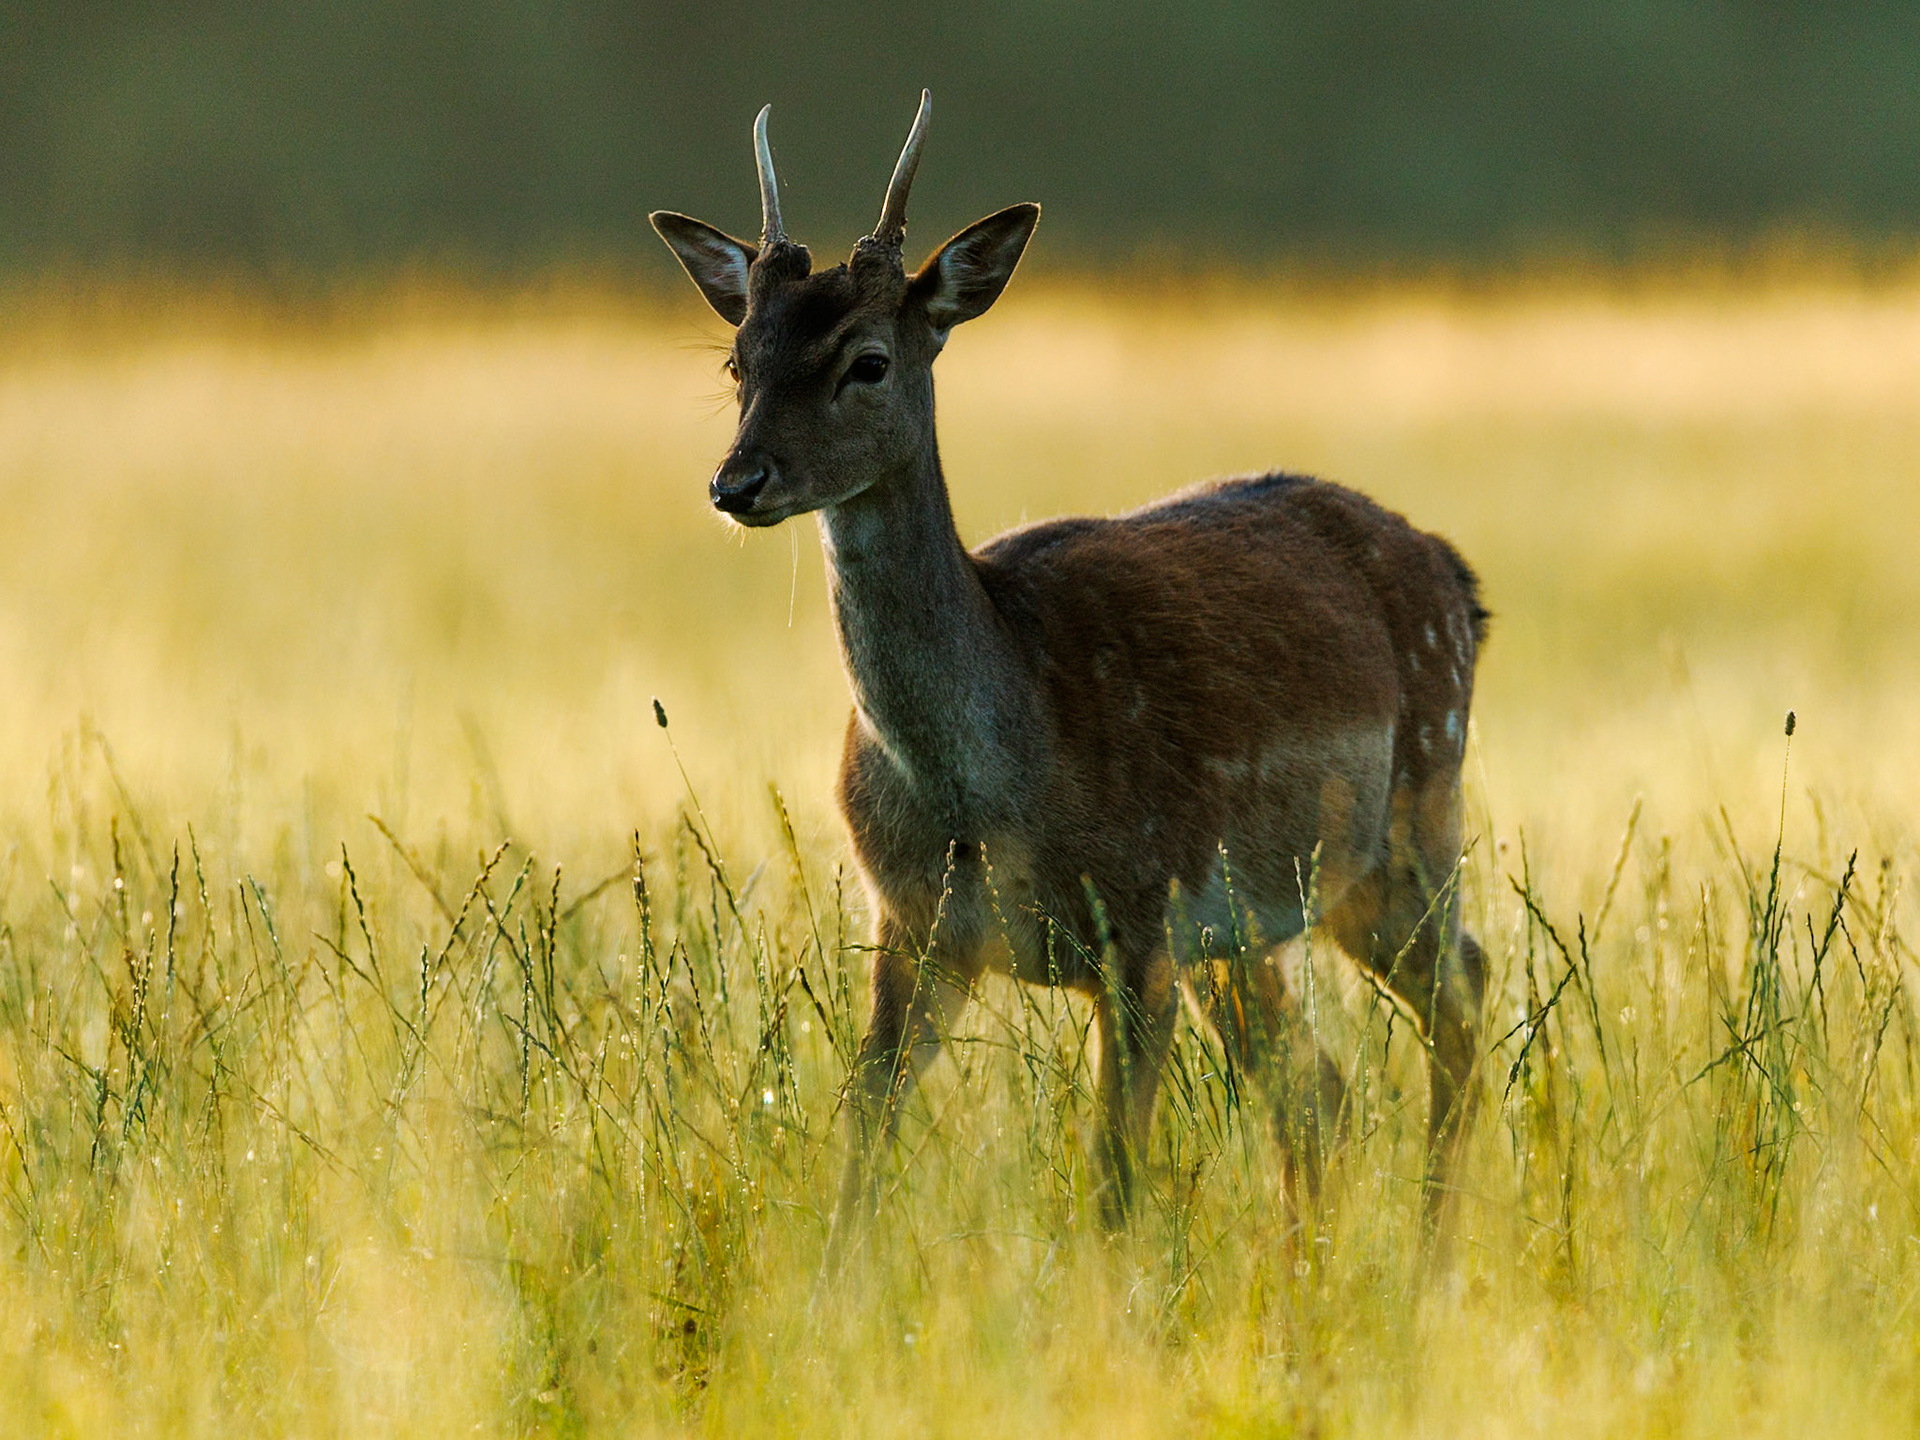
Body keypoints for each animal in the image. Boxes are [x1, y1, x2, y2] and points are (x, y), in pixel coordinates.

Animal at [651, 92, 1489, 1259]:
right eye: (739, 362)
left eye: (868, 360)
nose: (738, 481)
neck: (990, 791)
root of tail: (1457, 578)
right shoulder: (915, 924)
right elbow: (862, 1136)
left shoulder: (1136, 921)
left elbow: (1113, 1175)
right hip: (1249, 928)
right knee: (1320, 1088)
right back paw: (1308, 1269)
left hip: (1406, 827)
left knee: (1461, 1002)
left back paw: (1428, 1264)